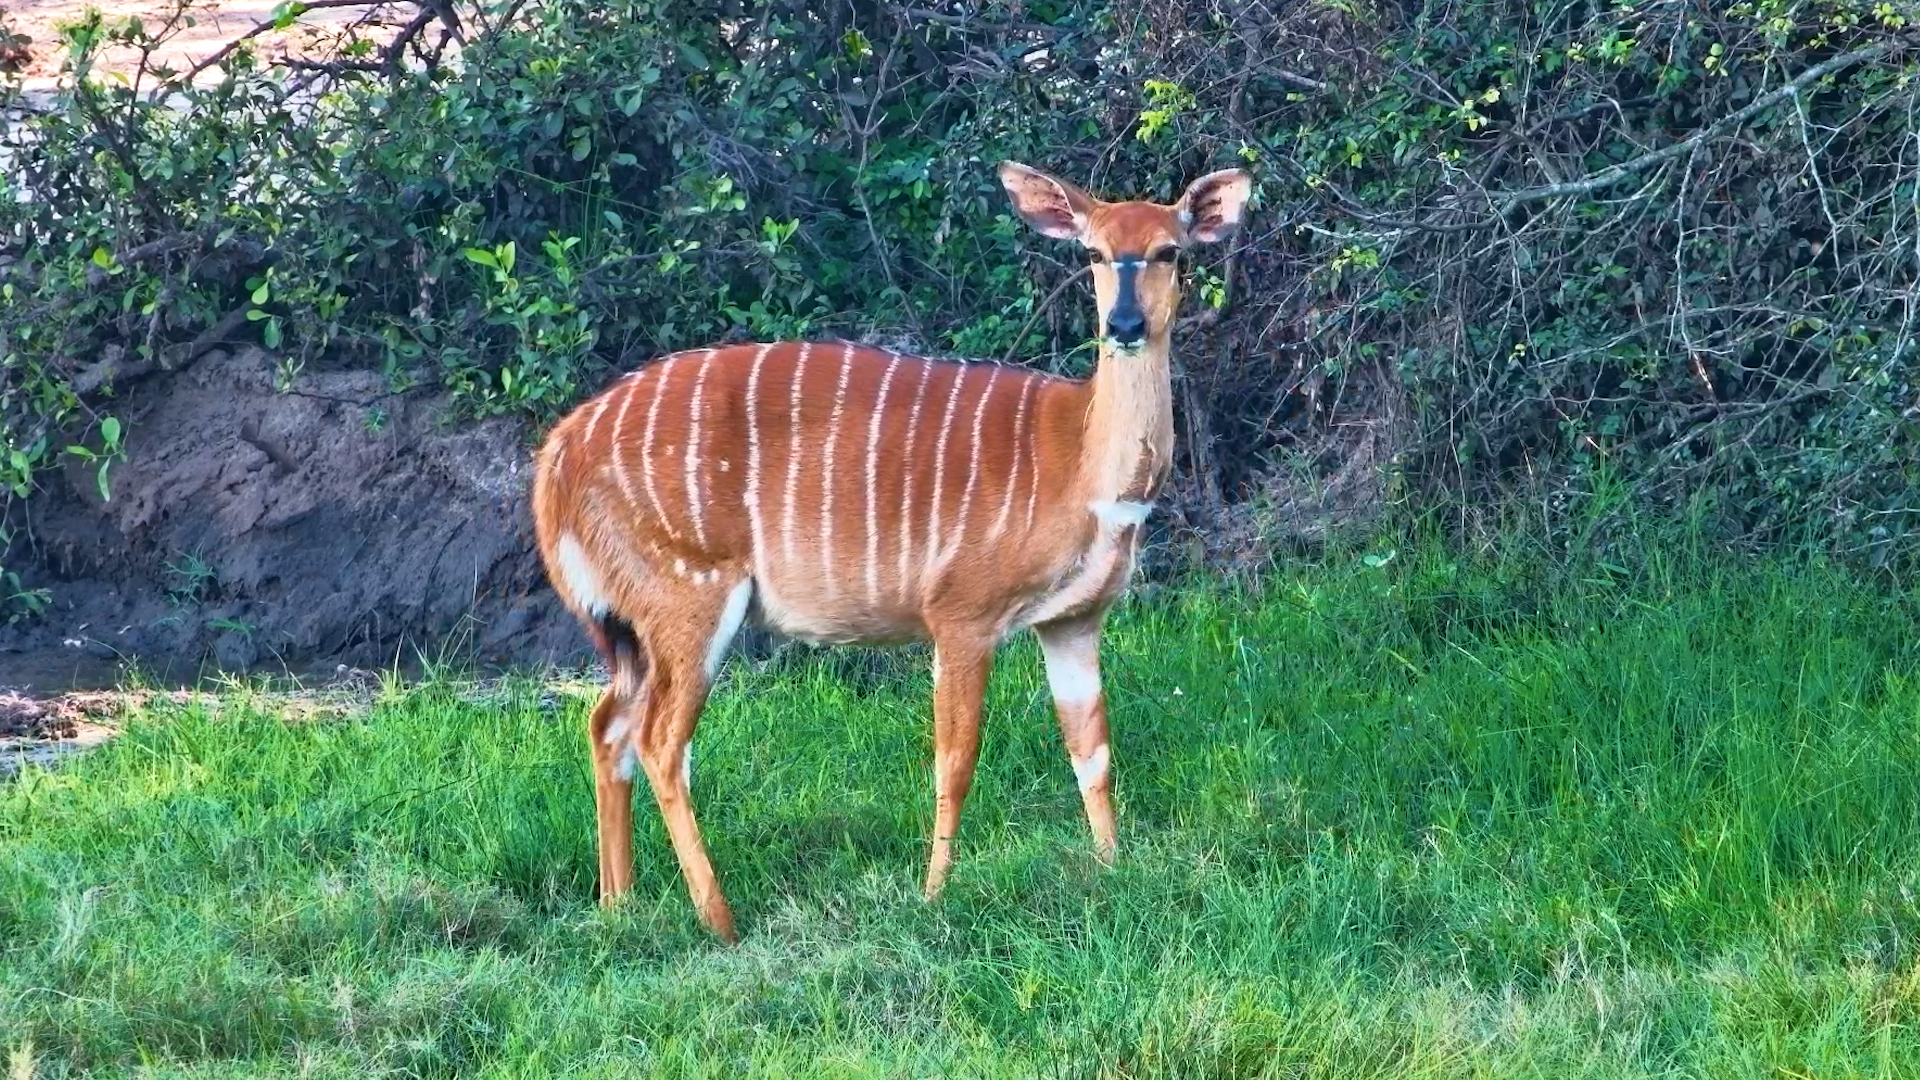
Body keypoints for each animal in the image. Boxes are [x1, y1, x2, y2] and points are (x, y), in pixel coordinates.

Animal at [531, 161, 1252, 941]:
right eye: (1092, 252)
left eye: (1168, 251)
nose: (1123, 326)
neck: (1082, 466)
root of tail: (557, 458)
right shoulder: (961, 613)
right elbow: (954, 759)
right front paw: (935, 894)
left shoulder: (1073, 619)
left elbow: (1092, 752)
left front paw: (1112, 868)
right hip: (688, 592)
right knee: (662, 741)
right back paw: (721, 920)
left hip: (634, 623)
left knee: (608, 723)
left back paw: (619, 904)